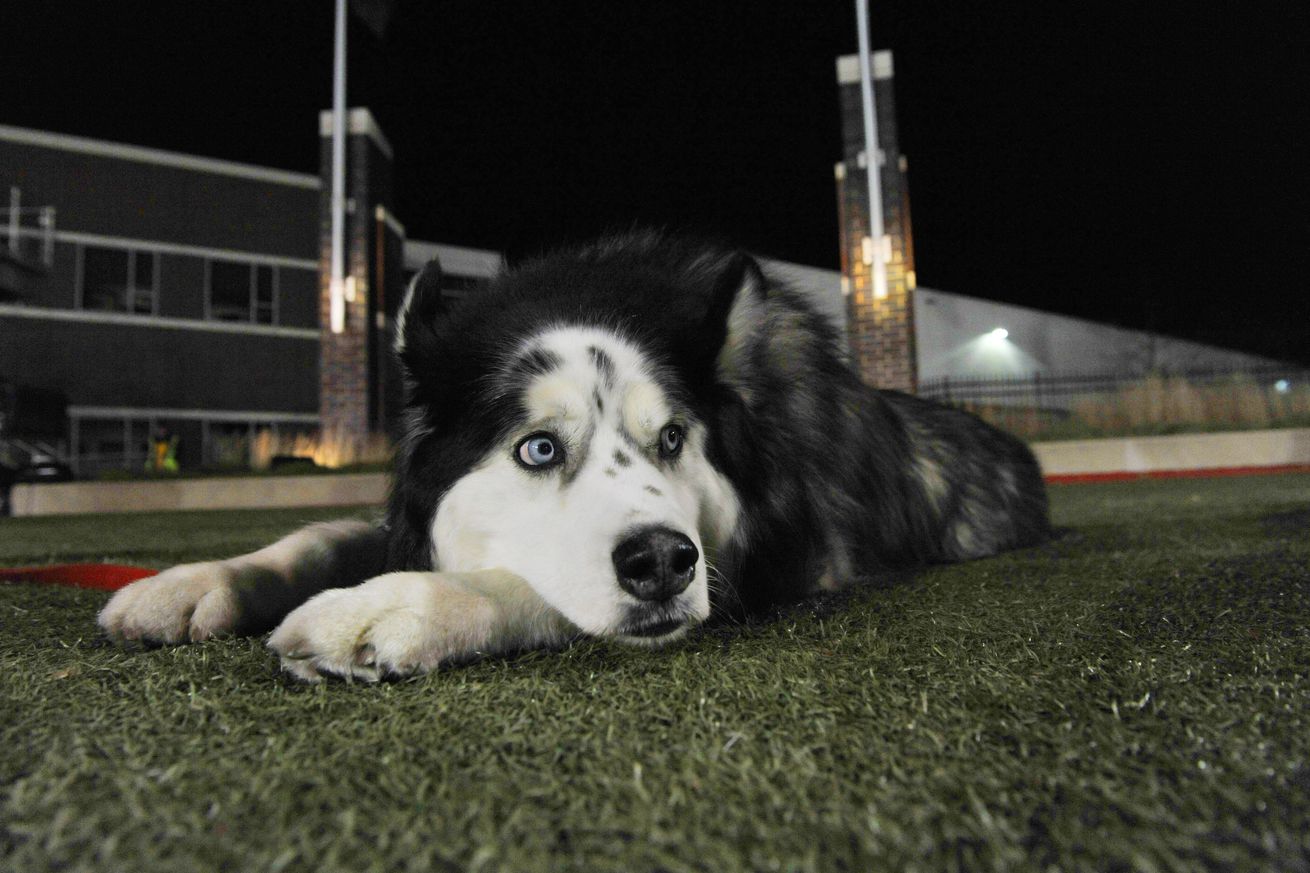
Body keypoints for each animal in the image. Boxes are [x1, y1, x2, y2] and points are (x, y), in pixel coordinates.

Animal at [96, 233, 1048, 681]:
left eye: (673, 439)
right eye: (540, 446)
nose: (663, 561)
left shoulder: (768, 569)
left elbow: (530, 588)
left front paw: (392, 605)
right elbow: (321, 535)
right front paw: (192, 583)